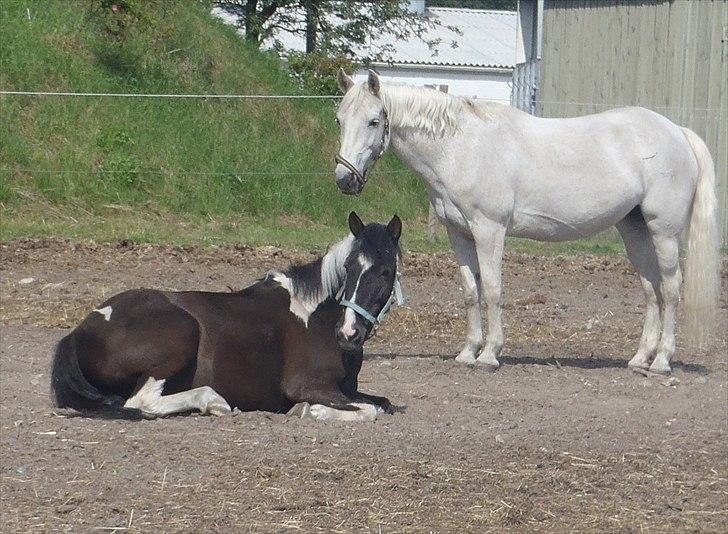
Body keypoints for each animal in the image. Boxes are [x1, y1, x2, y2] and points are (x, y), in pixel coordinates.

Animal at [51, 214, 404, 422]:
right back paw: (213, 401)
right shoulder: (309, 385)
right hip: (181, 333)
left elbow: (382, 402)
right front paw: (310, 410)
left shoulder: (347, 389)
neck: (314, 317)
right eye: (348, 267)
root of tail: (78, 332)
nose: (348, 333)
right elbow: (369, 411)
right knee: (141, 402)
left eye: (386, 272)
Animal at [336, 69, 724, 374]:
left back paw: (662, 361)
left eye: (374, 121)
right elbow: (470, 292)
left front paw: (489, 355)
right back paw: (641, 358)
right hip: (635, 231)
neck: (463, 148)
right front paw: (468, 352)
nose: (344, 179)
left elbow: (492, 289)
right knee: (651, 290)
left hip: (664, 232)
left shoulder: (489, 229)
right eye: (340, 119)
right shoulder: (459, 234)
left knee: (670, 288)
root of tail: (678, 132)